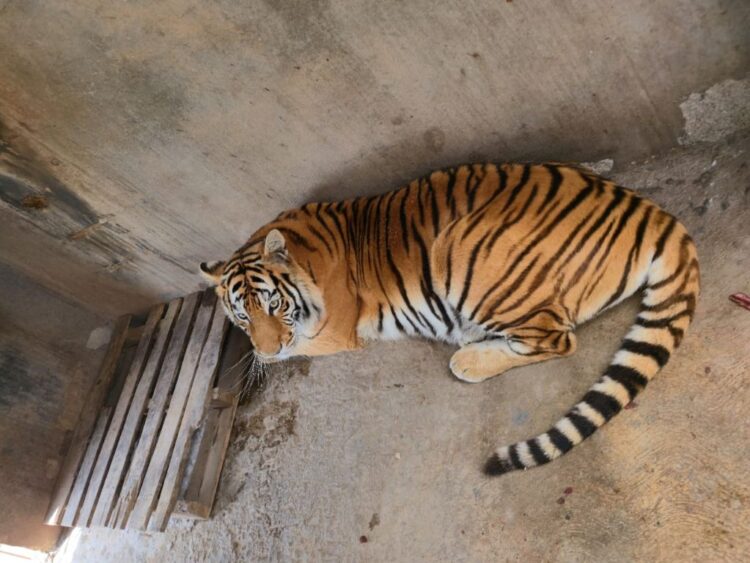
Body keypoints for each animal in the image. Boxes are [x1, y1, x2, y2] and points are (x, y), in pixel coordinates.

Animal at [200, 163, 700, 475]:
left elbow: (294, 348)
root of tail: (651, 212)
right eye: (242, 316)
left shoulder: (332, 331)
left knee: (555, 339)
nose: (268, 348)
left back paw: (469, 357)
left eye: (273, 305)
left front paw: (255, 366)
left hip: (463, 251)